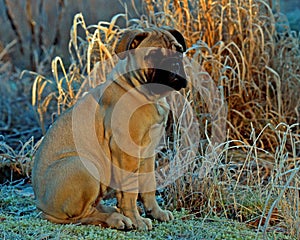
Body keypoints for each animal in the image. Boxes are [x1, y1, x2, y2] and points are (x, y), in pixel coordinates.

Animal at [33, 26, 188, 231]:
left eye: (179, 51)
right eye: (154, 55)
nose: (175, 64)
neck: (147, 94)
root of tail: (41, 206)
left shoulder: (148, 152)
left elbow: (148, 185)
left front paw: (156, 213)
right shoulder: (126, 152)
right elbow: (130, 192)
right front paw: (137, 220)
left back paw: (113, 211)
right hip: (85, 166)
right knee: (81, 215)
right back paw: (116, 218)